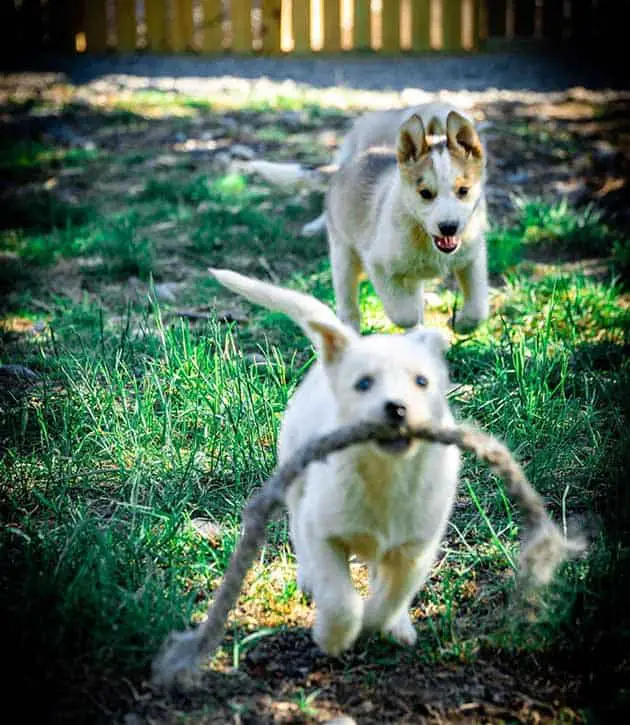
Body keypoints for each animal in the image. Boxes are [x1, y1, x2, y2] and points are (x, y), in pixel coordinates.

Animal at [210, 268, 462, 660]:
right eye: (363, 384)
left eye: (422, 381)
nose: (397, 408)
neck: (384, 474)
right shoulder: (323, 534)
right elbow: (340, 598)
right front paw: (334, 637)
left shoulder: (414, 551)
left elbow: (390, 598)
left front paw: (384, 624)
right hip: (297, 484)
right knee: (297, 531)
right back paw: (309, 581)